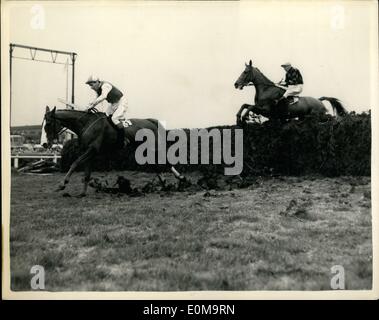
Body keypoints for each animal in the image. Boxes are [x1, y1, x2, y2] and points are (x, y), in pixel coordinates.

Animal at [43, 107, 186, 196]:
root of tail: (151, 121)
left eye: (48, 123)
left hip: (154, 147)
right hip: (144, 149)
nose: (45, 144)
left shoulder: (91, 150)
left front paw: (62, 184)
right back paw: (165, 182)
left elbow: (75, 163)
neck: (86, 124)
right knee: (155, 165)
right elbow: (87, 173)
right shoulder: (89, 153)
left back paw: (180, 178)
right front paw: (82, 193)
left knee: (165, 161)